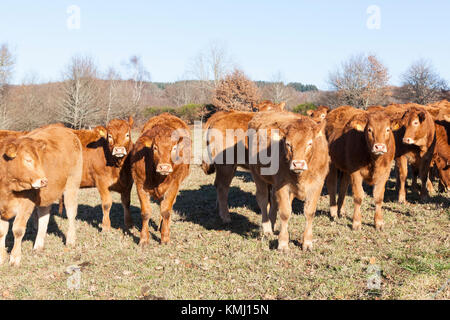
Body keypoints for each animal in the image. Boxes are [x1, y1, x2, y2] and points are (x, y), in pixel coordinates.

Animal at [0, 125, 81, 268]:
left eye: (39, 159)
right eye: (28, 159)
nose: (44, 181)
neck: (7, 189)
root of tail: (64, 129)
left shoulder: (26, 204)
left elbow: (18, 229)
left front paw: (15, 258)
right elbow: (1, 231)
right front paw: (1, 258)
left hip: (72, 184)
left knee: (71, 212)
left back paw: (71, 240)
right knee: (44, 215)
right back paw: (38, 245)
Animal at [132, 113, 192, 245]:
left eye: (174, 148)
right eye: (155, 148)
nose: (164, 167)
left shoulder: (174, 185)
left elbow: (166, 211)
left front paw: (165, 237)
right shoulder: (140, 185)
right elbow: (145, 212)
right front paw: (144, 239)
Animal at [248, 112, 328, 250]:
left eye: (309, 143)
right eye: (288, 144)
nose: (298, 164)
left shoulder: (317, 184)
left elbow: (309, 212)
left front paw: (307, 242)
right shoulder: (282, 184)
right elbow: (285, 213)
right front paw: (283, 243)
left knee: (274, 201)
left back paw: (273, 225)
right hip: (257, 175)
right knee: (263, 199)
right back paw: (267, 229)